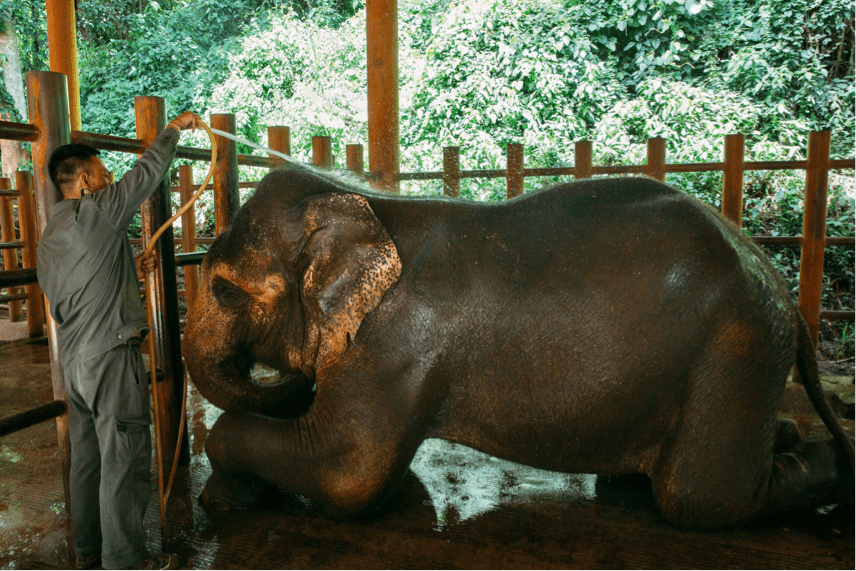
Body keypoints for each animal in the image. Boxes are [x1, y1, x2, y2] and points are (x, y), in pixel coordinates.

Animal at [184, 166, 852, 532]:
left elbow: (346, 471)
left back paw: (839, 467)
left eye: (225, 289)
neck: (356, 199)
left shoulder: (396, 343)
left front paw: (226, 500)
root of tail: (776, 281)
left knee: (701, 497)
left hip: (736, 348)